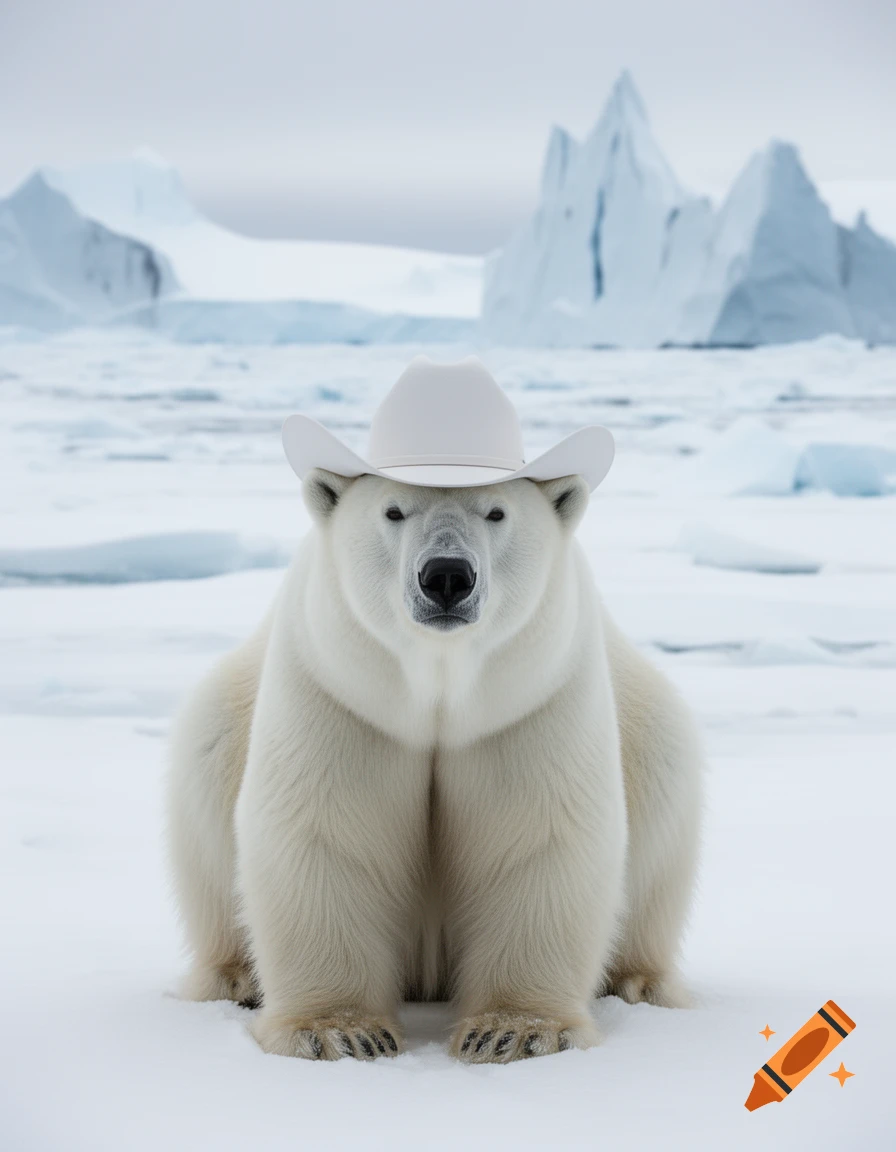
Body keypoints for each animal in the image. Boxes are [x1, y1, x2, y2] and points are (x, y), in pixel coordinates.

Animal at [167, 467, 703, 1063]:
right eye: (393, 511)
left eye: (496, 512)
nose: (447, 576)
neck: (439, 684)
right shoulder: (339, 692)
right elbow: (325, 833)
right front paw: (340, 1032)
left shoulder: (532, 700)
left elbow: (537, 837)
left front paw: (515, 1032)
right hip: (225, 721)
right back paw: (237, 979)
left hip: (649, 731)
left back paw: (639, 982)